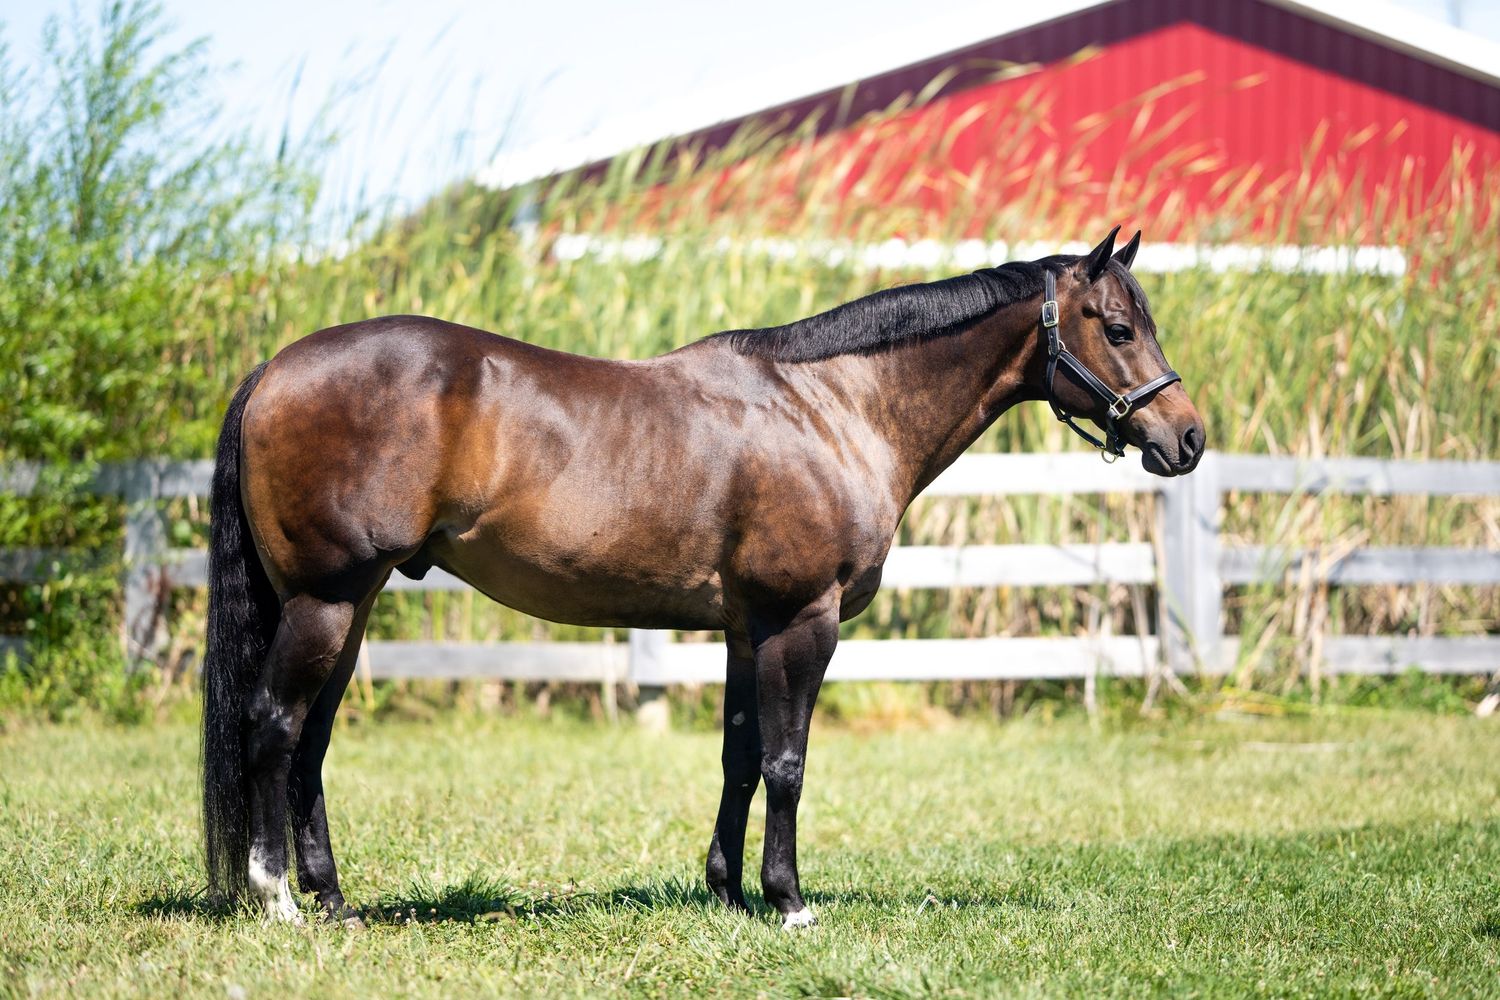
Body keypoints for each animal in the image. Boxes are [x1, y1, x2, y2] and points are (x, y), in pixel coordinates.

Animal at [202, 226, 1204, 929]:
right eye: (1119, 328)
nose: (1187, 438)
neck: (831, 408)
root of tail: (275, 368)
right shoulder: (804, 620)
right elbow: (788, 762)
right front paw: (789, 900)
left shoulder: (746, 628)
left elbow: (739, 757)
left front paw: (727, 892)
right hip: (327, 602)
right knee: (274, 724)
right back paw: (278, 899)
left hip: (351, 606)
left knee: (312, 744)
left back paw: (335, 902)